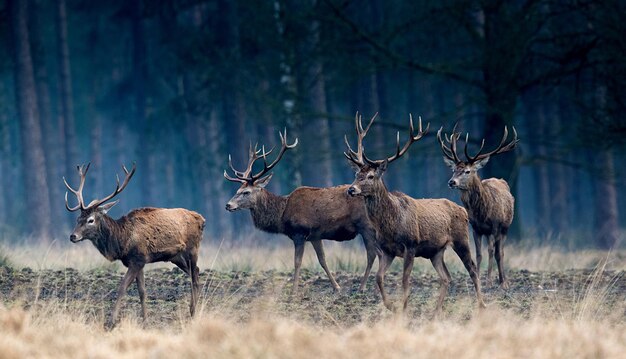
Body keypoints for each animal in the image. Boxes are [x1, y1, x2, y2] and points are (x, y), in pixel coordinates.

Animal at [63, 163, 205, 330]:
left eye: (90, 220)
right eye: (78, 219)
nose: (73, 236)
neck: (122, 241)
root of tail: (202, 219)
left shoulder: (138, 259)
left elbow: (122, 287)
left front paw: (111, 322)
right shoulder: (137, 262)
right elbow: (142, 291)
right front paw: (145, 321)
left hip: (192, 248)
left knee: (195, 276)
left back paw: (193, 313)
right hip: (175, 257)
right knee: (196, 272)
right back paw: (193, 310)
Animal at [224, 129, 376, 296]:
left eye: (246, 192)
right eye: (237, 190)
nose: (228, 205)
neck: (282, 214)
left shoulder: (299, 232)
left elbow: (297, 262)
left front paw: (294, 291)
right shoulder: (315, 236)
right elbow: (322, 260)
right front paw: (337, 287)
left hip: (366, 226)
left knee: (372, 254)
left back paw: (362, 287)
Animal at [342, 113, 482, 316]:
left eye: (370, 176)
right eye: (356, 174)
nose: (351, 189)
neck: (390, 223)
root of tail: (463, 210)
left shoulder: (411, 245)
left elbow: (405, 280)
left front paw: (403, 309)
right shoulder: (387, 250)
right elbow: (379, 277)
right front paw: (392, 306)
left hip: (461, 239)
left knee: (472, 268)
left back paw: (482, 305)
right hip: (436, 251)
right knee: (446, 277)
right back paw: (435, 312)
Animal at [434, 126, 516, 290]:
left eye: (467, 171)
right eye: (453, 170)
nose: (451, 182)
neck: (483, 213)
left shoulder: (495, 226)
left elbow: (495, 253)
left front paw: (496, 282)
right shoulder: (475, 228)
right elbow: (478, 254)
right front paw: (477, 279)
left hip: (505, 227)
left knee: (499, 252)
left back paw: (502, 280)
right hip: (489, 232)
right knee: (493, 251)